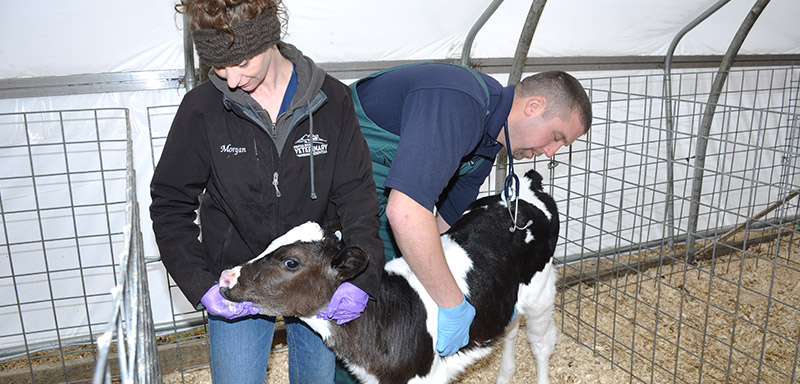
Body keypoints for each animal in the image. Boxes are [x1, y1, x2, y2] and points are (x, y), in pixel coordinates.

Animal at [219, 171, 556, 384]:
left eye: (291, 262)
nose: (227, 277)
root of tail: (522, 190)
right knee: (510, 329)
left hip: (541, 292)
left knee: (541, 345)